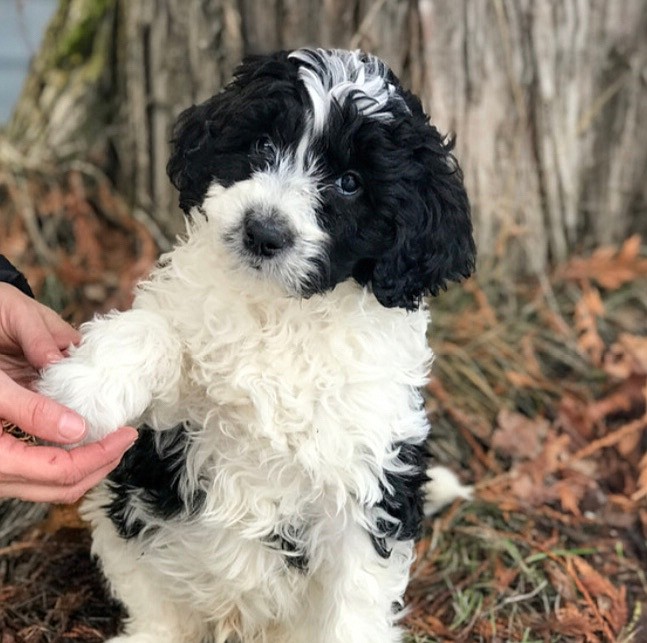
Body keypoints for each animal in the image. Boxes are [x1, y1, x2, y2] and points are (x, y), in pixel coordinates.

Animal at [39, 47, 476, 640]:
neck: (280, 311)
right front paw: (85, 390)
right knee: (155, 605)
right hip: (127, 527)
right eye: (263, 145)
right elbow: (153, 332)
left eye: (350, 182)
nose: (263, 232)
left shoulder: (368, 480)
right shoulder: (178, 416)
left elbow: (356, 602)